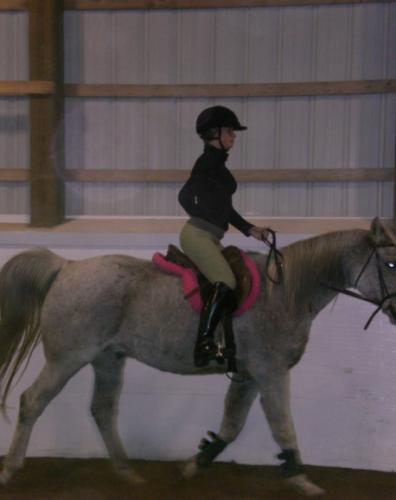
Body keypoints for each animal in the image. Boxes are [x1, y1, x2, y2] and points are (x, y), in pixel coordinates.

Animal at [0, 219, 396, 496]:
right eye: (390, 265)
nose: (395, 311)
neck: (285, 292)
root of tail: (66, 267)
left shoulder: (249, 375)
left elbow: (232, 424)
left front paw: (194, 464)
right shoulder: (271, 372)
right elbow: (282, 425)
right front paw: (301, 479)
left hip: (108, 359)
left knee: (103, 410)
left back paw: (128, 473)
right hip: (67, 358)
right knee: (32, 401)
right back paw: (10, 470)